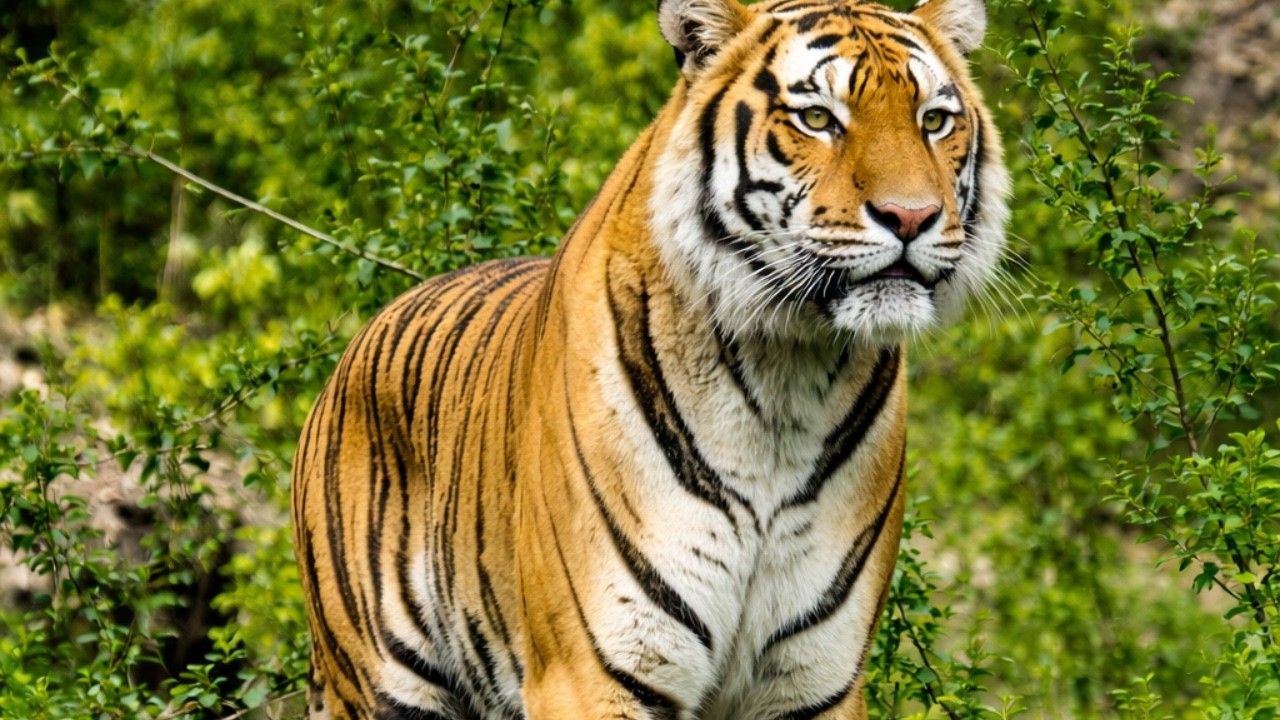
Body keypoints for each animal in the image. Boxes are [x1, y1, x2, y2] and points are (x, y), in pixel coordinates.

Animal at [291, 0, 1009, 717]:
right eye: (816, 118)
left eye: (934, 121)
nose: (911, 216)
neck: (786, 376)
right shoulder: (593, 670)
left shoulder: (816, 681)